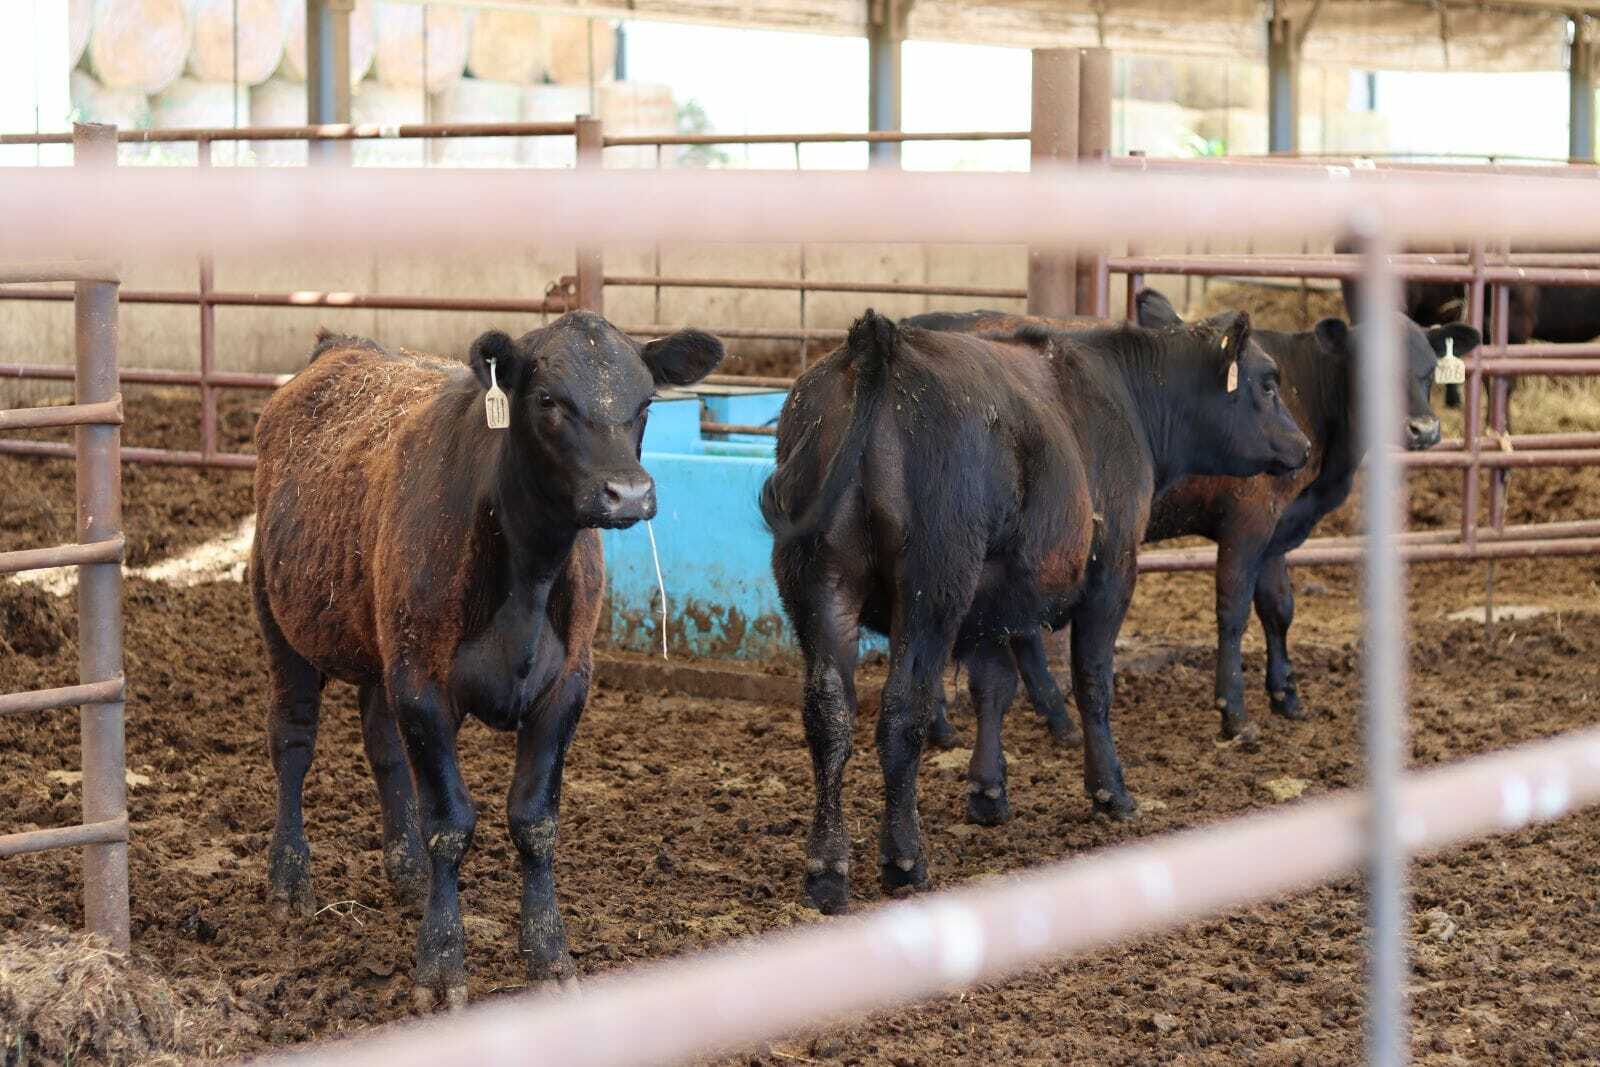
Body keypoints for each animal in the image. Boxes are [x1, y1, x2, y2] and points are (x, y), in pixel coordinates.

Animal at [250, 312, 723, 1010]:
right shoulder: (424, 686)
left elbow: (534, 821)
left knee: (383, 746)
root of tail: (340, 348)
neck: (527, 574)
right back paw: (289, 879)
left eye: (645, 403)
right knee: (292, 742)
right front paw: (441, 964)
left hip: (382, 645)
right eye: (549, 400)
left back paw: (407, 872)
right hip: (282, 619)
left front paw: (549, 955)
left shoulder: (566, 687)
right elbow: (450, 822)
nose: (629, 494)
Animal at [760, 309, 1309, 913]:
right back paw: (904, 858)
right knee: (903, 711)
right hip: (932, 589)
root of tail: (878, 343)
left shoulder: (991, 603)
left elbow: (994, 686)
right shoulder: (1111, 573)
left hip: (821, 586)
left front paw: (988, 791)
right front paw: (1111, 790)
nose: (1304, 447)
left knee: (829, 713)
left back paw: (827, 870)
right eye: (1268, 383)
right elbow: (1092, 683)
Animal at [920, 291, 1479, 744]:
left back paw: (1053, 721)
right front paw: (1235, 714)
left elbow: (1278, 607)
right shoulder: (1247, 523)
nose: (1425, 430)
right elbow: (1233, 613)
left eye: (1429, 368)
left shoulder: (1276, 532)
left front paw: (1286, 695)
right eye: (1369, 369)